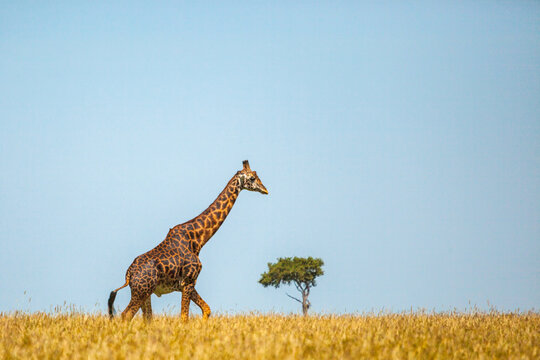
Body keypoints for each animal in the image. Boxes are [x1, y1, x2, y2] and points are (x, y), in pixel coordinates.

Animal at [108, 160, 268, 320]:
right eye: (252, 178)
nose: (265, 190)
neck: (198, 240)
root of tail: (129, 274)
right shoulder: (188, 281)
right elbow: (185, 316)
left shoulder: (188, 284)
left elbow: (206, 309)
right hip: (141, 291)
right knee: (126, 315)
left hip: (146, 293)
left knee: (147, 318)